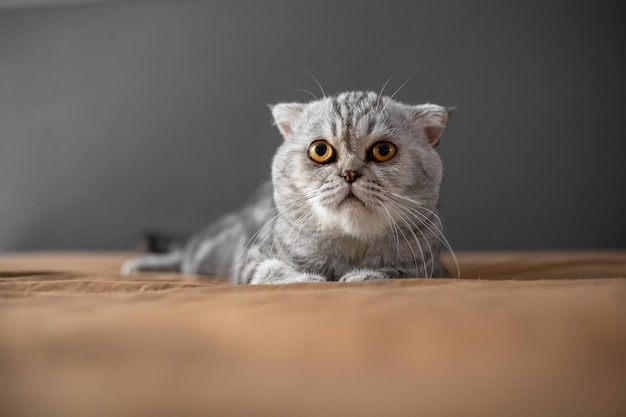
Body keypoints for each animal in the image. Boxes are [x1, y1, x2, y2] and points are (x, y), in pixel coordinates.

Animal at [122, 91, 456, 284]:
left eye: (383, 150)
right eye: (320, 150)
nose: (349, 173)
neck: (350, 247)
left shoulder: (428, 268)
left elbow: (391, 273)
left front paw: (361, 276)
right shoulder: (251, 259)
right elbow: (273, 271)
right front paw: (310, 279)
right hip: (207, 251)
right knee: (181, 257)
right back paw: (140, 265)